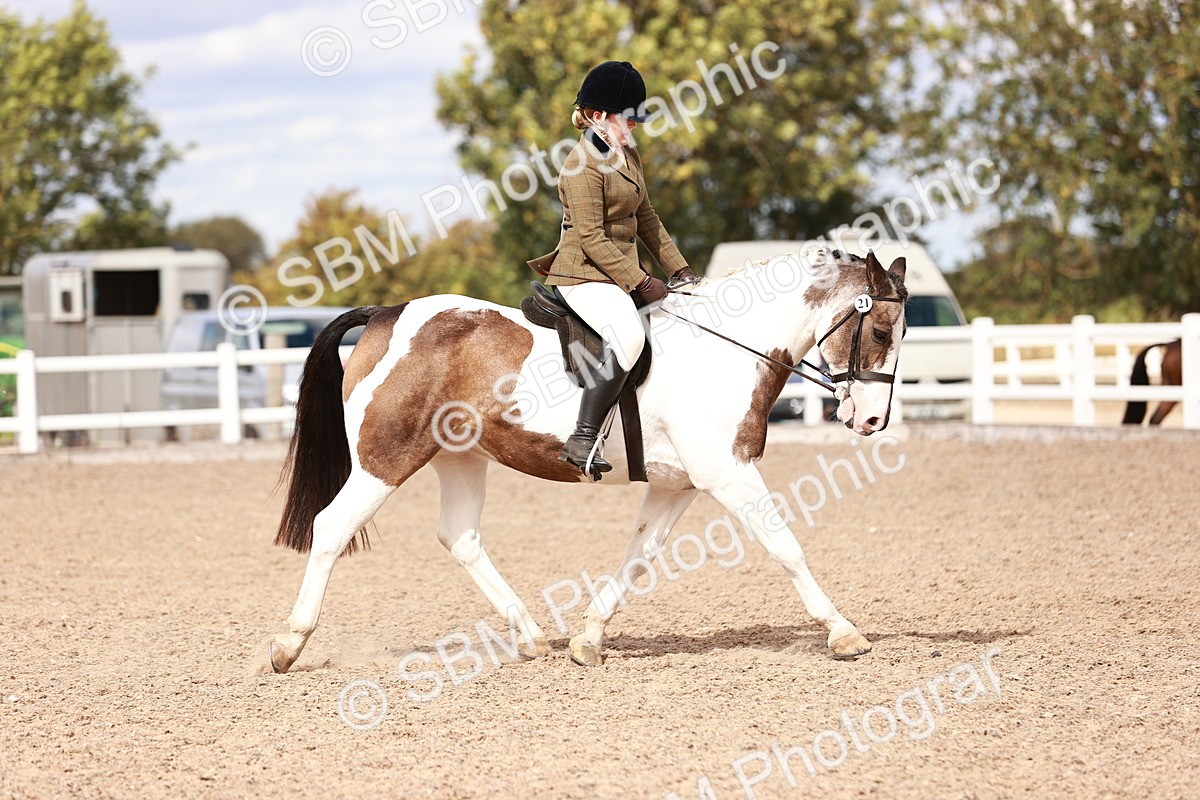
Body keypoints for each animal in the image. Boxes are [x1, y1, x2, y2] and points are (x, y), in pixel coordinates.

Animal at [259, 248, 909, 674]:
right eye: (880, 330)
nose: (871, 421)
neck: (724, 349)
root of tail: (383, 314)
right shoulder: (728, 474)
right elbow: (784, 545)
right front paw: (844, 633)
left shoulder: (677, 485)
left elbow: (639, 558)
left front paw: (589, 640)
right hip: (385, 459)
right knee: (331, 527)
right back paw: (289, 645)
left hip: (460, 457)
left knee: (460, 537)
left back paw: (530, 637)